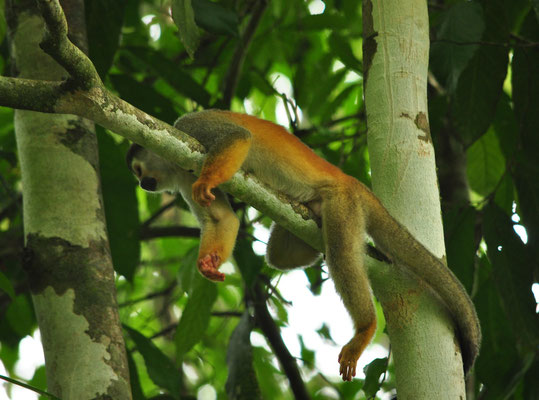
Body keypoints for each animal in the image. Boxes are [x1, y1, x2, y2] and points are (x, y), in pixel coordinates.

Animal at [126, 109, 480, 382]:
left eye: (137, 170)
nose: (142, 184)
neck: (174, 164)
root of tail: (355, 184)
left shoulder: (188, 128)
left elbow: (237, 137)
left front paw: (207, 181)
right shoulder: (182, 174)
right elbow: (222, 219)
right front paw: (208, 262)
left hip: (344, 204)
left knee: (341, 255)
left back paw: (365, 327)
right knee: (280, 255)